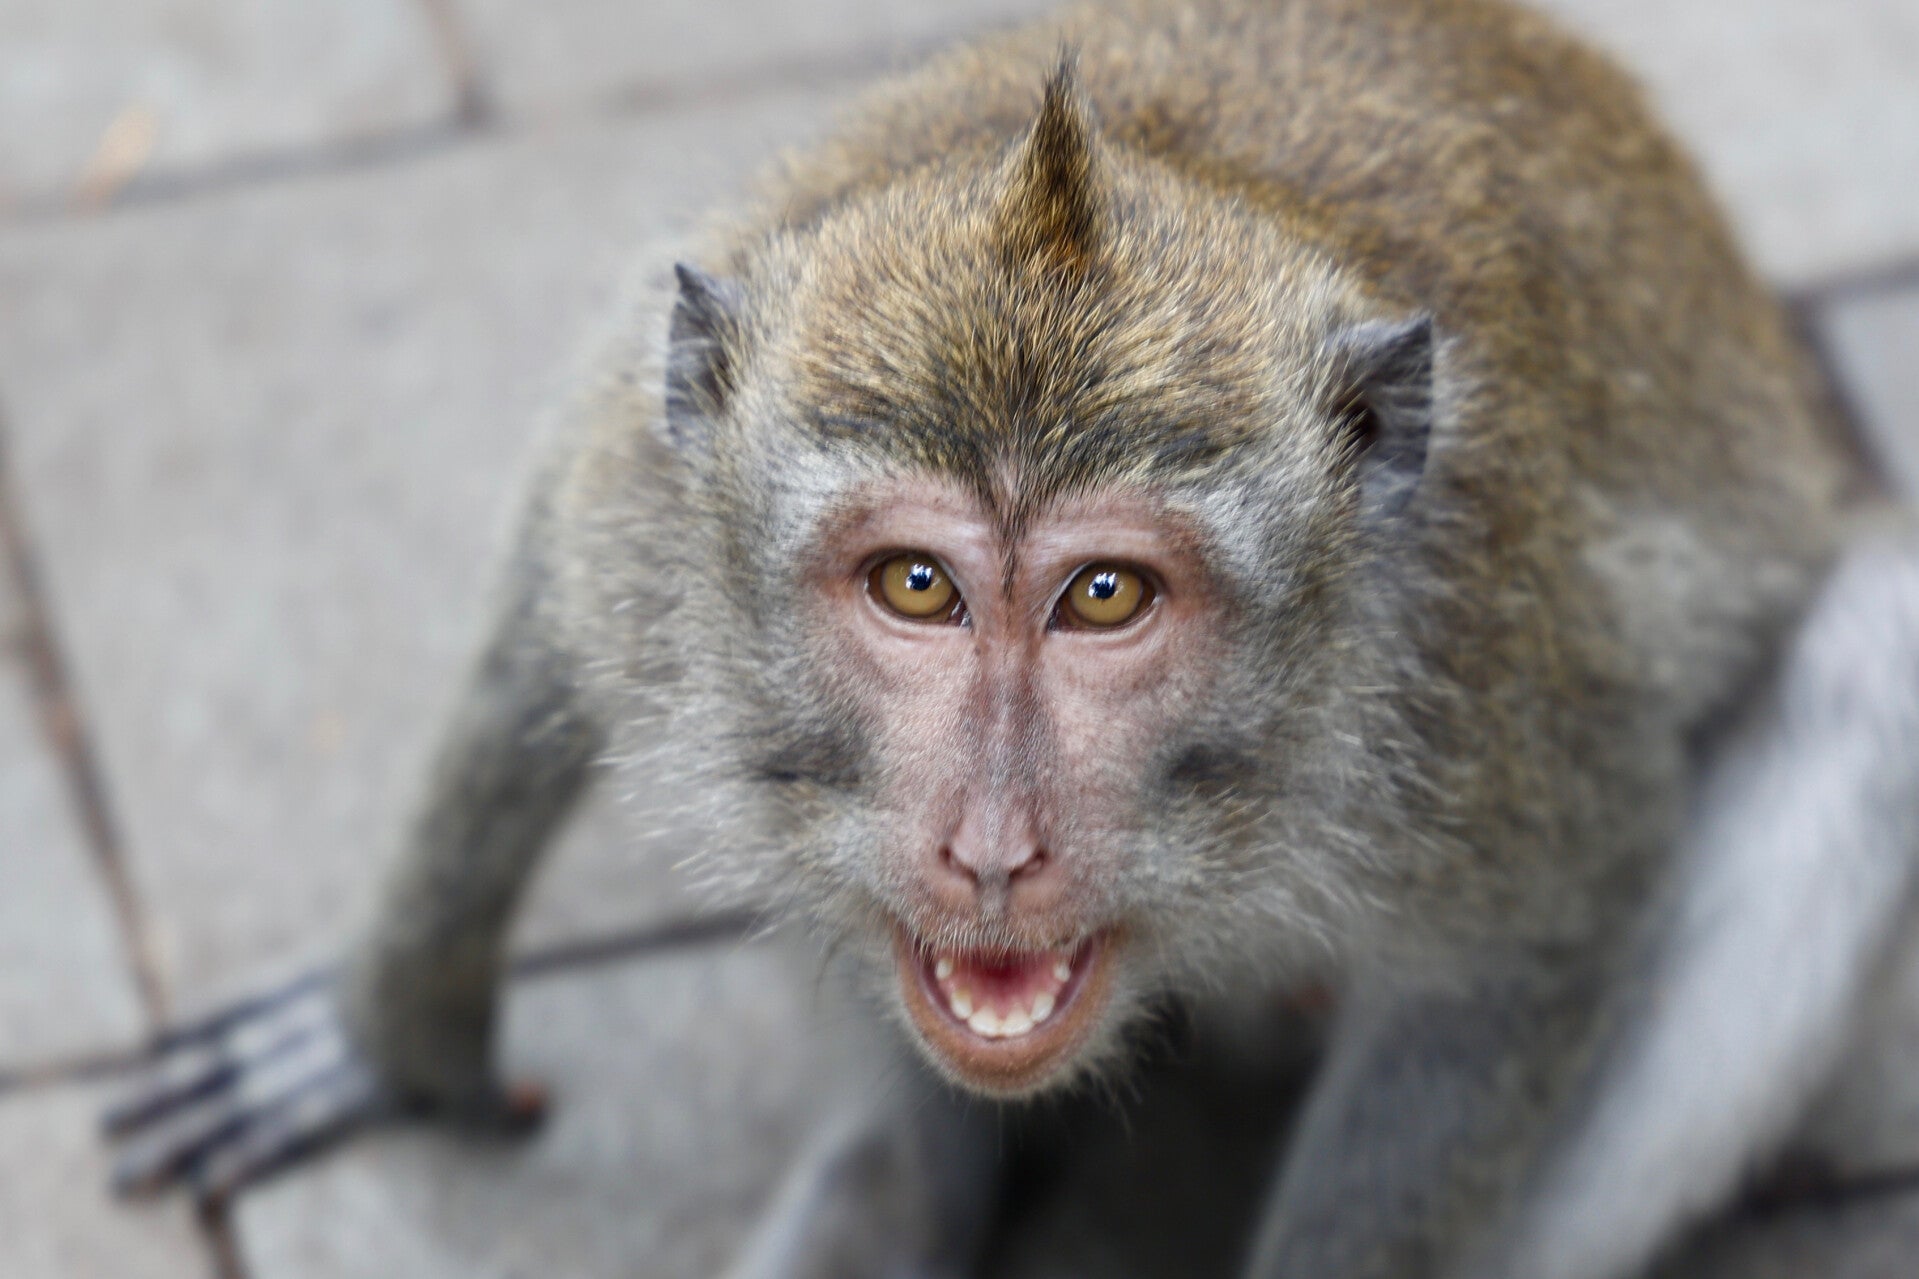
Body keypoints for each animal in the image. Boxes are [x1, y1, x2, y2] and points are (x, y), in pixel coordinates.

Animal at [103, 0, 1919, 1276]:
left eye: (1104, 595)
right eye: (915, 585)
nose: (988, 843)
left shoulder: (1492, 701)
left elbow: (1515, 959)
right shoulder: (641, 490)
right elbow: (546, 587)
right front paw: (382, 1037)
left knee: (1863, 677)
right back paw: (888, 1193)